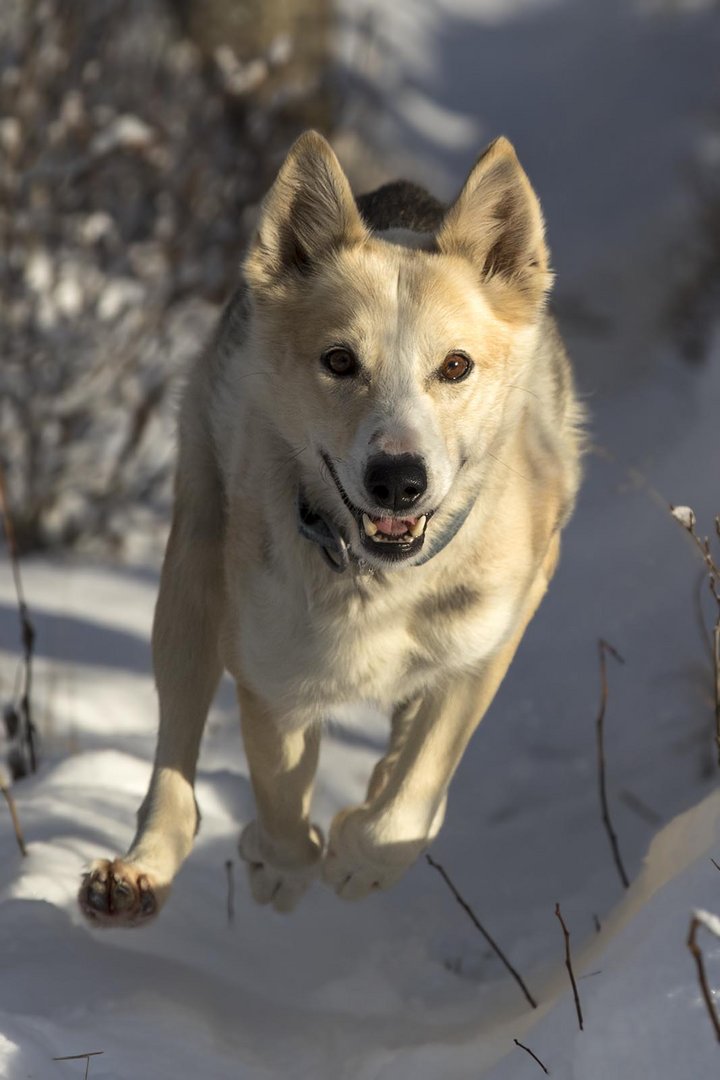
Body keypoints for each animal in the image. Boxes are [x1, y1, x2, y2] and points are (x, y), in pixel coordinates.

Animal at [78, 126, 587, 920]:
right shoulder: (271, 672)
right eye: (340, 361)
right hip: (190, 579)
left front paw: (362, 856)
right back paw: (137, 873)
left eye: (456, 366)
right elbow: (281, 794)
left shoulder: (487, 644)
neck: (381, 581)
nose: (399, 480)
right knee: (175, 756)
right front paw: (282, 867)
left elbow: (413, 792)